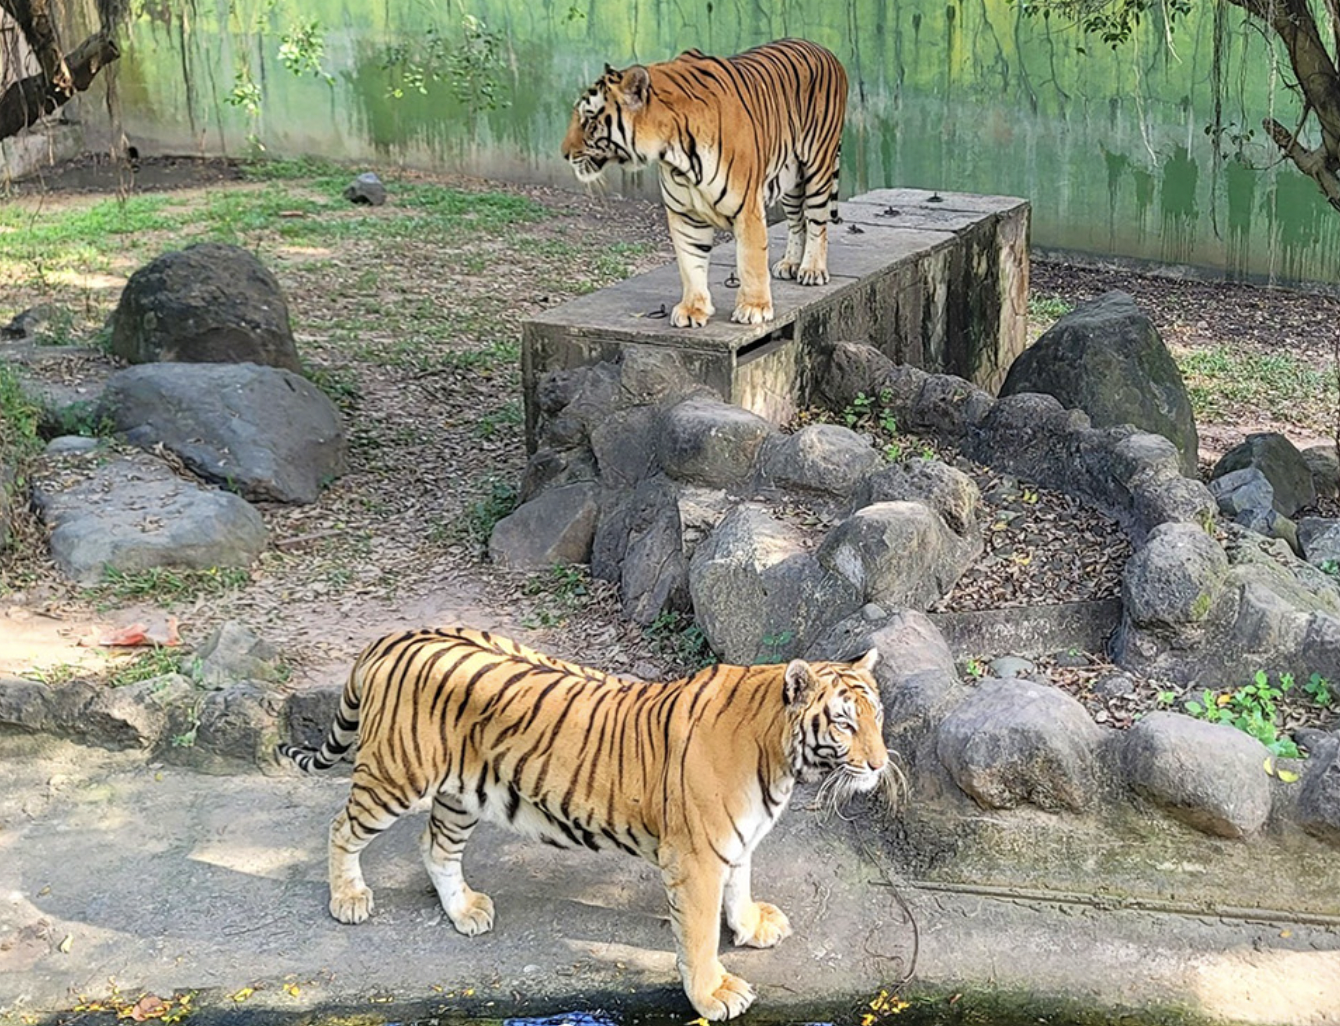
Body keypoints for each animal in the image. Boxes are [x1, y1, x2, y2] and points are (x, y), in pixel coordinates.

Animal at [276, 626, 889, 1017]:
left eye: (878, 718)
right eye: (843, 723)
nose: (881, 765)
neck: (781, 761)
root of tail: (396, 637)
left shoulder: (736, 841)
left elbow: (739, 888)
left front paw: (751, 926)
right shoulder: (696, 856)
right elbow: (696, 935)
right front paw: (714, 995)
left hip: (460, 794)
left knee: (436, 848)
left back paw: (466, 911)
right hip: (395, 777)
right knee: (341, 828)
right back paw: (348, 899)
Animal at [560, 39, 841, 329]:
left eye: (589, 120)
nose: (564, 153)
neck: (674, 153)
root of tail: (820, 47)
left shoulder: (748, 208)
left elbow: (751, 259)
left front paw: (754, 308)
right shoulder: (684, 213)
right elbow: (690, 262)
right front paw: (692, 309)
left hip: (817, 168)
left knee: (817, 222)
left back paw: (812, 270)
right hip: (790, 179)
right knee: (797, 222)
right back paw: (790, 264)